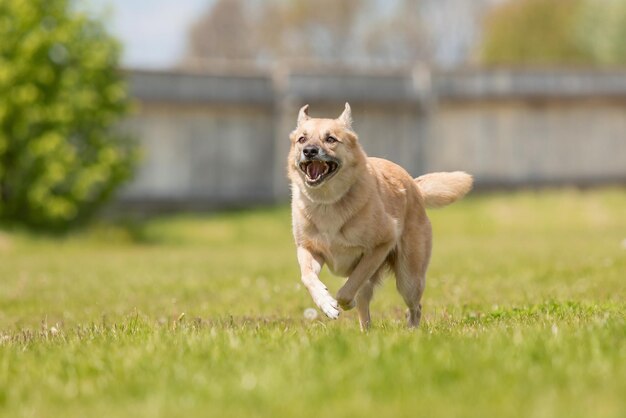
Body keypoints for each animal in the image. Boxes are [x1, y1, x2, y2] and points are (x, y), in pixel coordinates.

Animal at [286, 102, 468, 330]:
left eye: (330, 139)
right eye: (302, 139)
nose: (309, 151)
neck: (328, 203)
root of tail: (414, 186)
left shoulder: (381, 244)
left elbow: (348, 289)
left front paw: (343, 303)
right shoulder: (308, 249)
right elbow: (308, 277)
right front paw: (326, 303)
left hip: (409, 279)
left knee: (414, 306)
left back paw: (412, 330)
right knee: (366, 308)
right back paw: (366, 332)